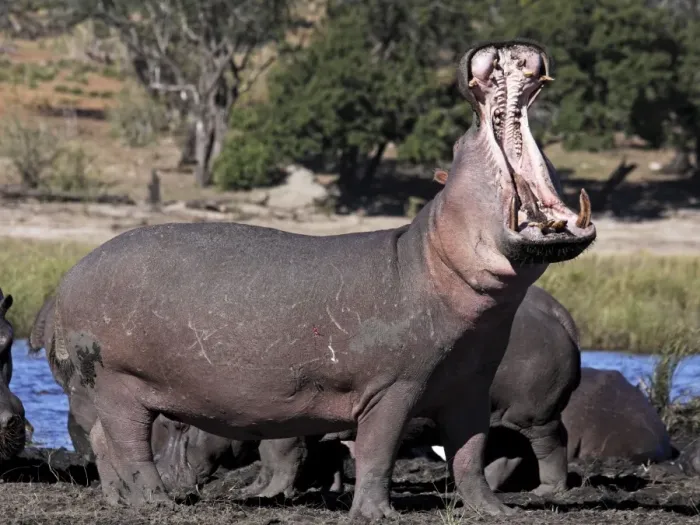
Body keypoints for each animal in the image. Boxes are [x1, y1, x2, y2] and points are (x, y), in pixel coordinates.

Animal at [249, 284, 581, 497]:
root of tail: (558, 313)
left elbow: (280, 456)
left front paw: (265, 495)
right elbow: (318, 459)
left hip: (534, 414)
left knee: (551, 445)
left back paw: (545, 491)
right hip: (503, 417)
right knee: (505, 452)